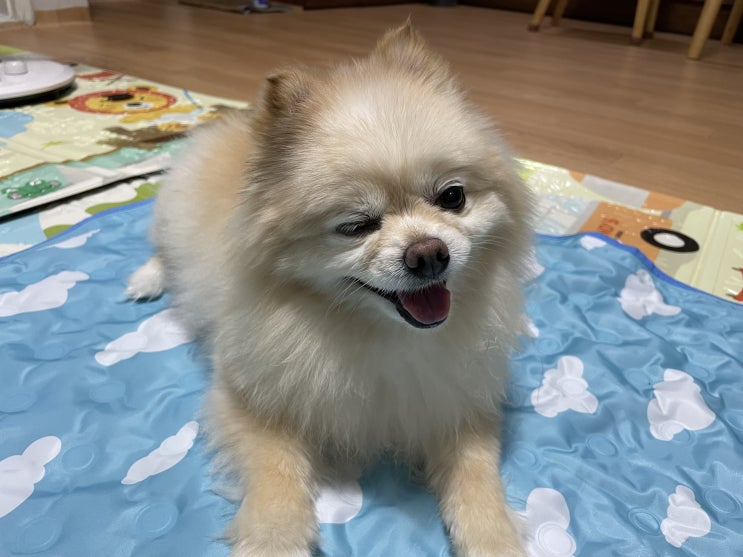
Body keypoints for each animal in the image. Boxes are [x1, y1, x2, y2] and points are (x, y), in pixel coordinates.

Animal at [127, 21, 534, 557]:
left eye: (453, 197)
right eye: (356, 226)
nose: (428, 253)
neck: (380, 335)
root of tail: (230, 122)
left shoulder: (457, 399)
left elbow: (476, 477)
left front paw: (494, 538)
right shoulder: (250, 397)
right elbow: (275, 474)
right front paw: (273, 540)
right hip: (171, 216)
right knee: (160, 250)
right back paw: (147, 279)